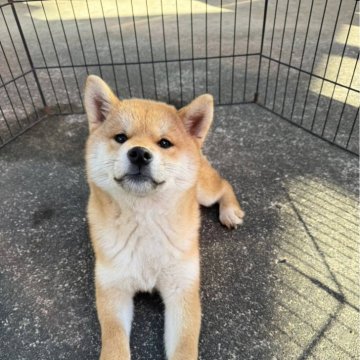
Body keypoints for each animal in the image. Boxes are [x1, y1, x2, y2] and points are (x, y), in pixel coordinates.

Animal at [83, 74, 243, 358]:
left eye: (165, 143)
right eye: (121, 137)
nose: (139, 153)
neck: (144, 222)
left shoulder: (182, 291)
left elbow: (184, 347)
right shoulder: (113, 290)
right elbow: (114, 342)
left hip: (204, 192)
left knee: (224, 184)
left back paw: (230, 211)